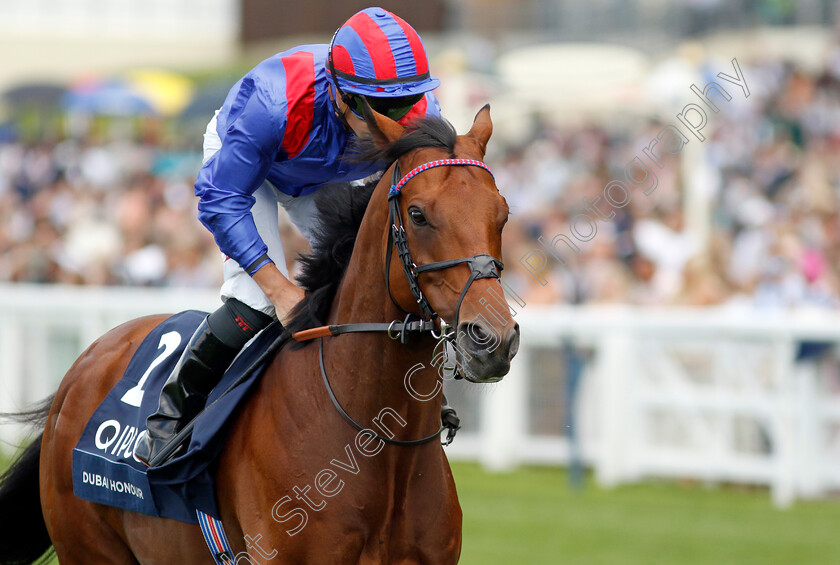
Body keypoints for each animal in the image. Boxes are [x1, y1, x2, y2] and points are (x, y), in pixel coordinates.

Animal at [0, 103, 520, 560]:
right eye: (418, 214)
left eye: (503, 213)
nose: (492, 338)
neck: (376, 443)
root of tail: (83, 366)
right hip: (90, 548)